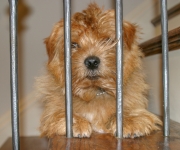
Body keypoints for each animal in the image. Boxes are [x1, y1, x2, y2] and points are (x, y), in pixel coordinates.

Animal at [37, 2, 162, 138]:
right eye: (73, 45)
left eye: (107, 40)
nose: (92, 62)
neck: (95, 92)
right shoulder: (51, 115)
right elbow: (58, 114)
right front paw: (76, 122)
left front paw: (129, 121)